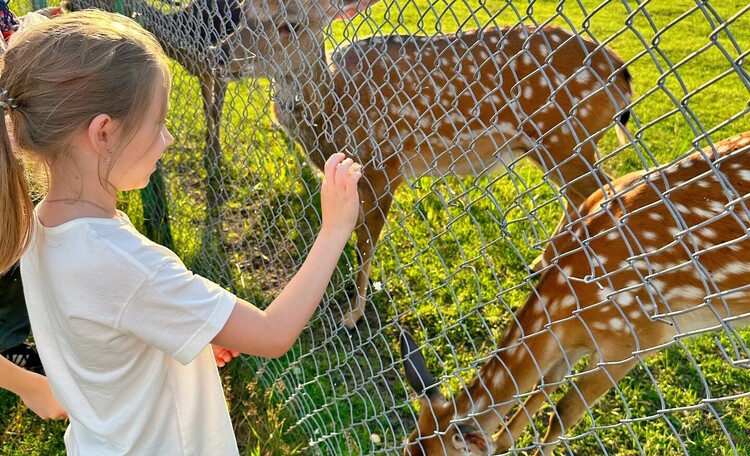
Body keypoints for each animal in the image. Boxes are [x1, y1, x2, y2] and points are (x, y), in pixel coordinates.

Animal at [216, 0, 636, 330]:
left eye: (290, 25)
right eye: (242, 12)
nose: (220, 55)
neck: (331, 111)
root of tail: (622, 75)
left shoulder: (385, 165)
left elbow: (365, 242)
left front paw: (353, 315)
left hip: (565, 137)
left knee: (607, 188)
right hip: (553, 146)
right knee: (583, 195)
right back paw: (545, 262)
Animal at [402, 130, 750, 454]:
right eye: (406, 447)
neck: (569, 300)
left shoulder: (636, 339)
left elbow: (564, 412)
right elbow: (544, 385)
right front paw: (502, 442)